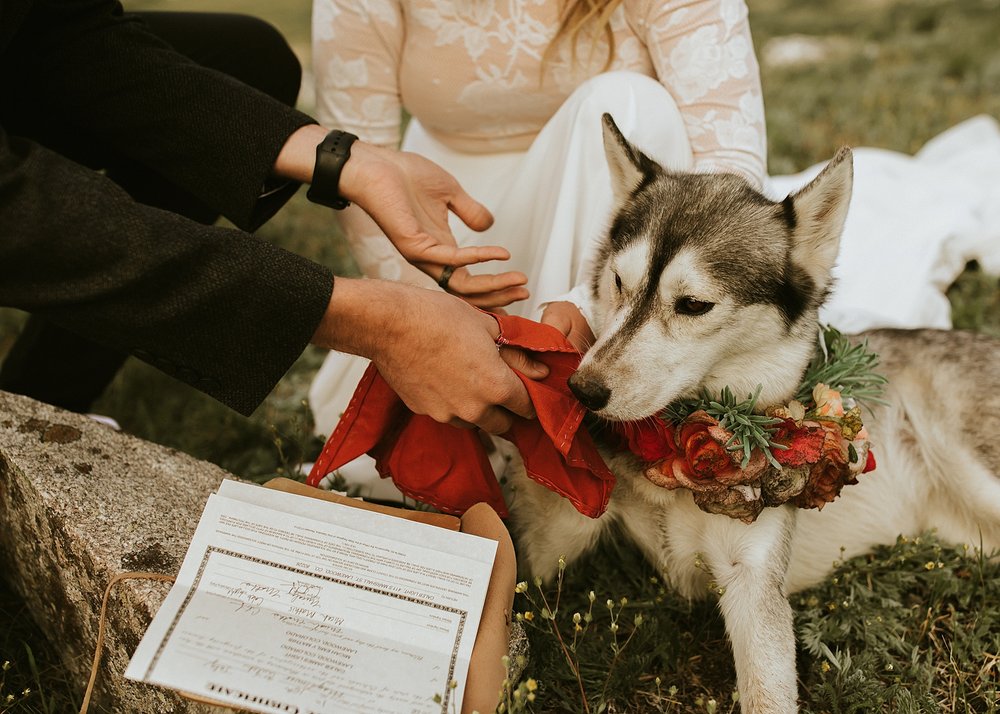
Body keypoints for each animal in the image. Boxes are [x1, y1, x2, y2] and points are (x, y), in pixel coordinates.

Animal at [508, 114, 1000, 712]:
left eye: (694, 305)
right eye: (620, 283)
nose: (582, 389)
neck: (672, 448)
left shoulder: (753, 574)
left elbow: (768, 690)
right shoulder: (550, 545)